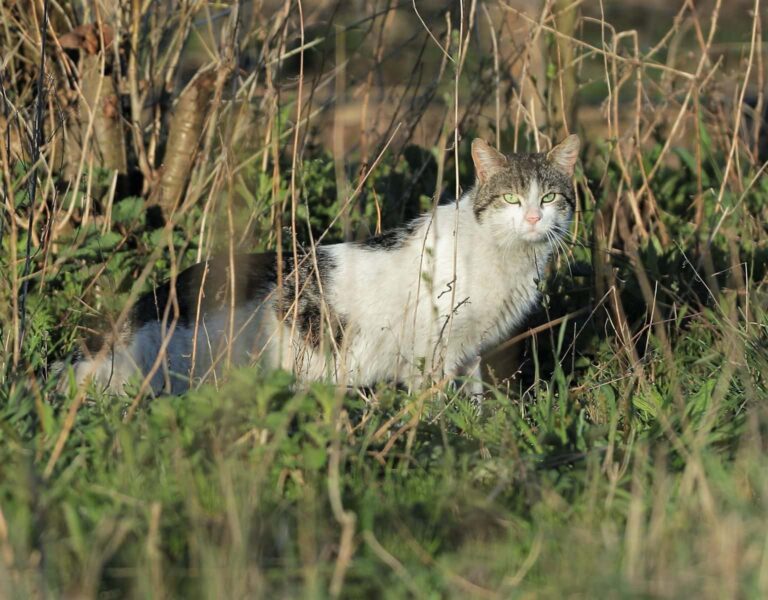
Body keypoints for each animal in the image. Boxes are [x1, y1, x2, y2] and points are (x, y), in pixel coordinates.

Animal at [58, 137, 576, 396]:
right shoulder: (434, 351)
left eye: (550, 197)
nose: (533, 218)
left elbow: (474, 400)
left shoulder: (468, 353)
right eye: (511, 198)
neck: (505, 255)